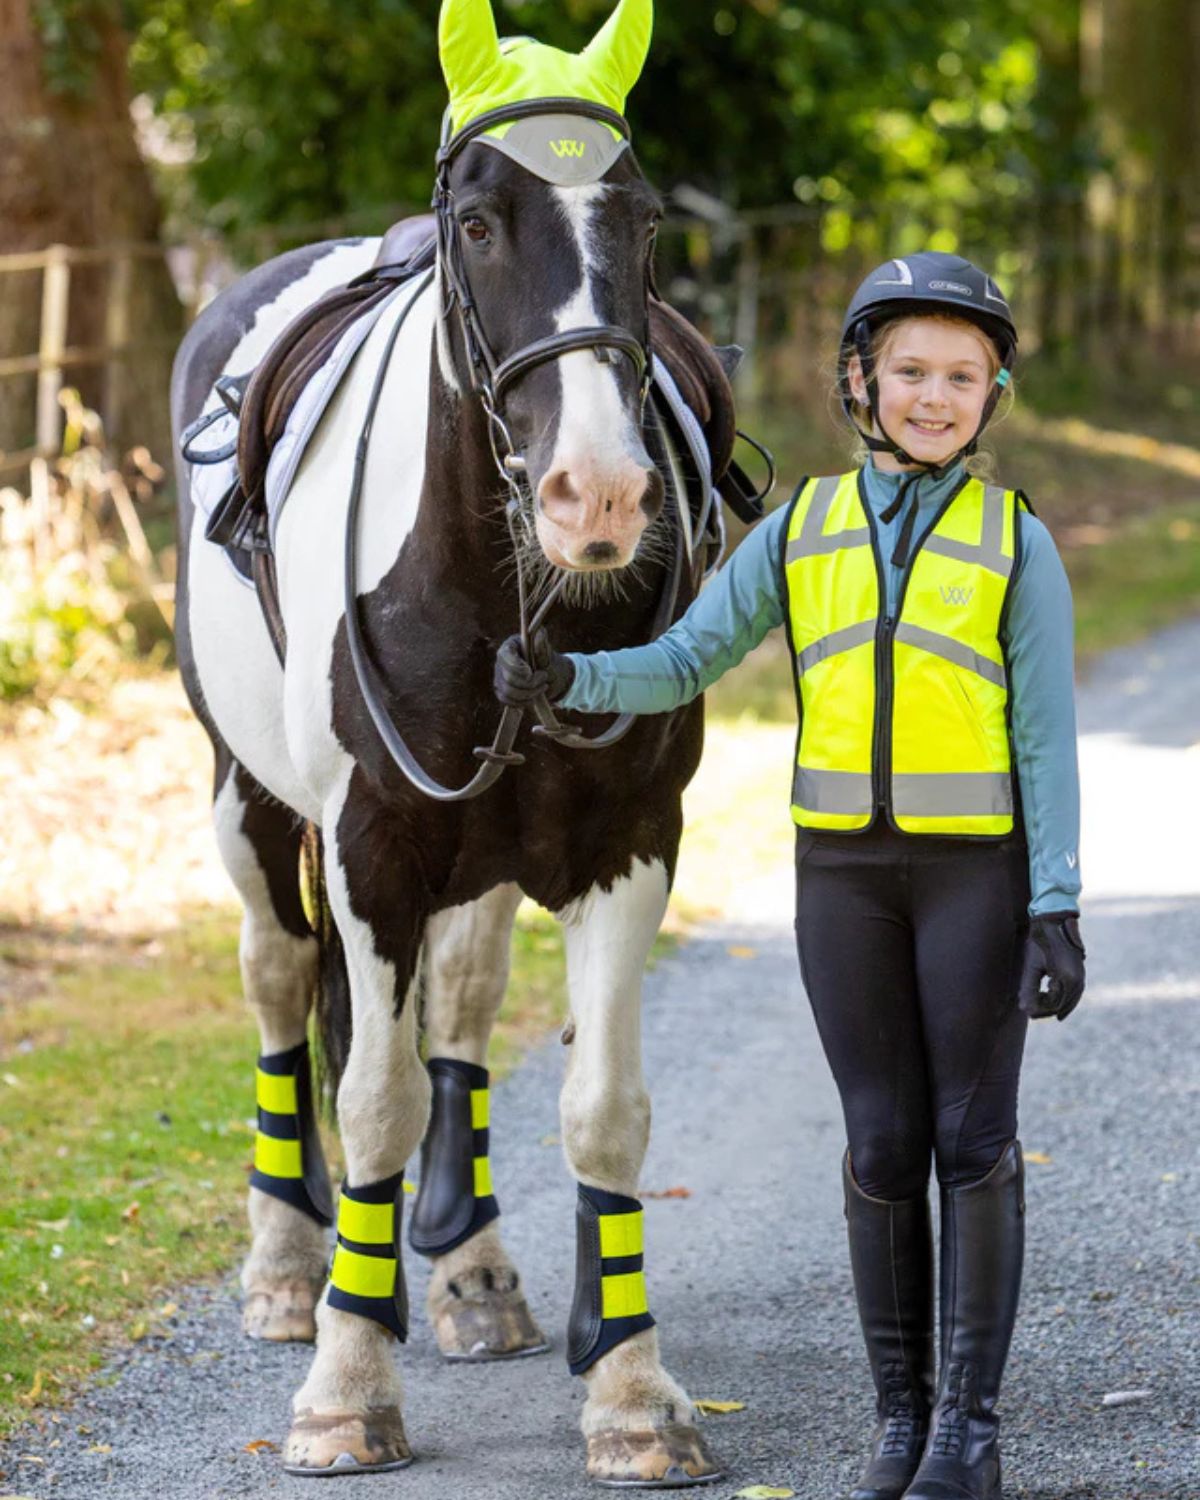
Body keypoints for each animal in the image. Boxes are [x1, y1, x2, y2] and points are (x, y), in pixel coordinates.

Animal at [170, 0, 748, 1483]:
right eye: (480, 223)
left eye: (643, 223)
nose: (598, 495)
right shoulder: (373, 850)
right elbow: (370, 1098)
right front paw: (344, 1382)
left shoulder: (629, 847)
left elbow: (601, 1107)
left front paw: (633, 1395)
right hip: (249, 803)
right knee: (278, 982)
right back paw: (285, 1266)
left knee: (468, 1004)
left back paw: (472, 1270)